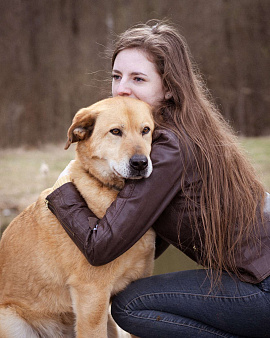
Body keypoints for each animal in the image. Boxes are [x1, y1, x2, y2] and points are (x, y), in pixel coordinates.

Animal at [0, 96, 156, 336]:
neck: (111, 192)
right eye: (115, 132)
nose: (140, 163)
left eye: (145, 130)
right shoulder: (92, 298)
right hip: (12, 322)